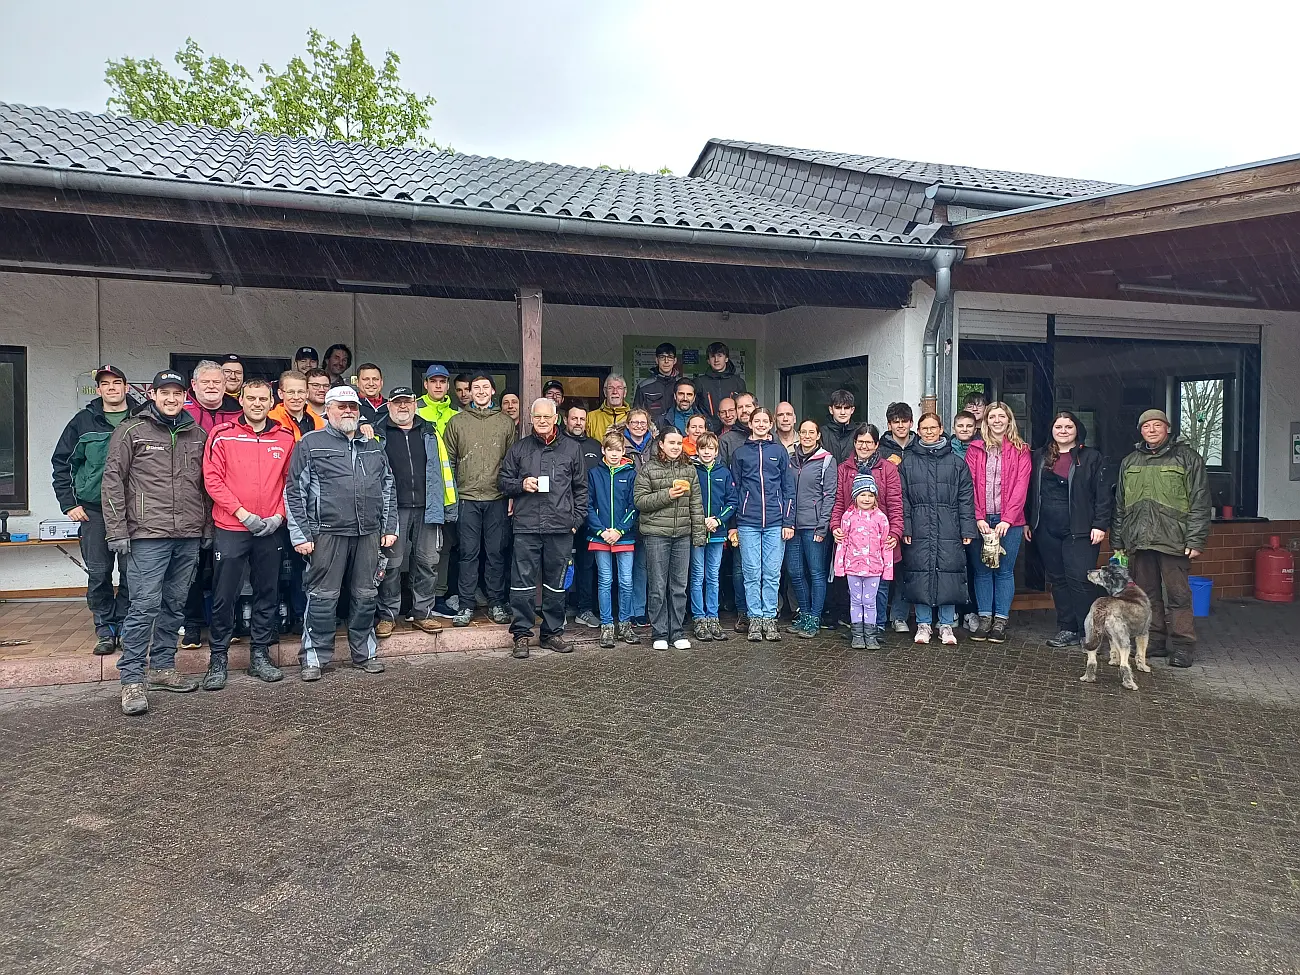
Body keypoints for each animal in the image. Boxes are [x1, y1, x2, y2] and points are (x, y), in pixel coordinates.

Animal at [1081, 561, 1154, 691]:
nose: (1088, 571)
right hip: (1124, 640)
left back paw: (1088, 678)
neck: (1126, 586)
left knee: (1091, 660)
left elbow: (1114, 650)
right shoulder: (1144, 633)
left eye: (1101, 572)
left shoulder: (1111, 637)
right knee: (1124, 665)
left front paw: (1114, 661)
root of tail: (1101, 608)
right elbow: (1141, 653)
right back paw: (1130, 684)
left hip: (1091, 633)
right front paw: (1143, 667)